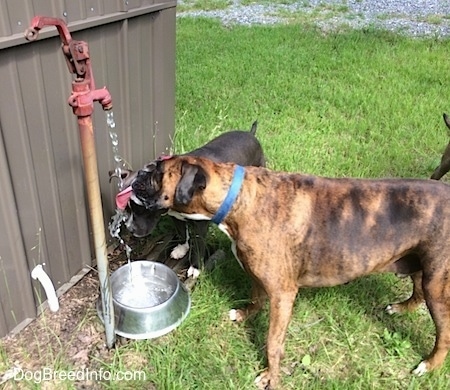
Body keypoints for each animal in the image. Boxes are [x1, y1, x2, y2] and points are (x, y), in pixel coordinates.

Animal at [132, 156, 450, 390]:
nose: (137, 174)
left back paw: (429, 364)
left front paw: (270, 376)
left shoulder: (283, 294)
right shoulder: (258, 275)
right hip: (419, 265)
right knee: (417, 293)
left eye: (158, 171)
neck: (239, 199)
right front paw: (244, 314)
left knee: (443, 331)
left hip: (436, 283)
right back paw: (402, 308)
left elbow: (273, 342)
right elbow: (255, 298)